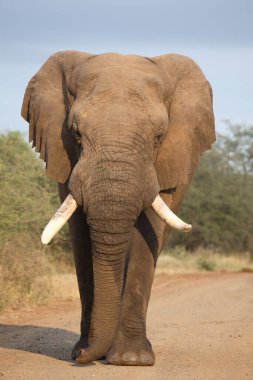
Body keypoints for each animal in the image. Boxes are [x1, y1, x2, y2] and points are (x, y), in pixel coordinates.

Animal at [22, 52, 215, 366]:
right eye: (76, 134)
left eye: (159, 137)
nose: (81, 355)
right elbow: (81, 239)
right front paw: (86, 349)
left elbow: (146, 238)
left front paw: (130, 359)